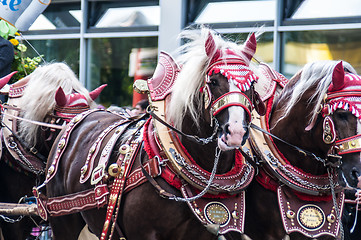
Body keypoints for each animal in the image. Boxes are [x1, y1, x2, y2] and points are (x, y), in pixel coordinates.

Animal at [38, 27, 264, 239]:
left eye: (252, 84)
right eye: (214, 81)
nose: (235, 132)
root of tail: (79, 117)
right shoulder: (144, 233)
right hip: (63, 220)